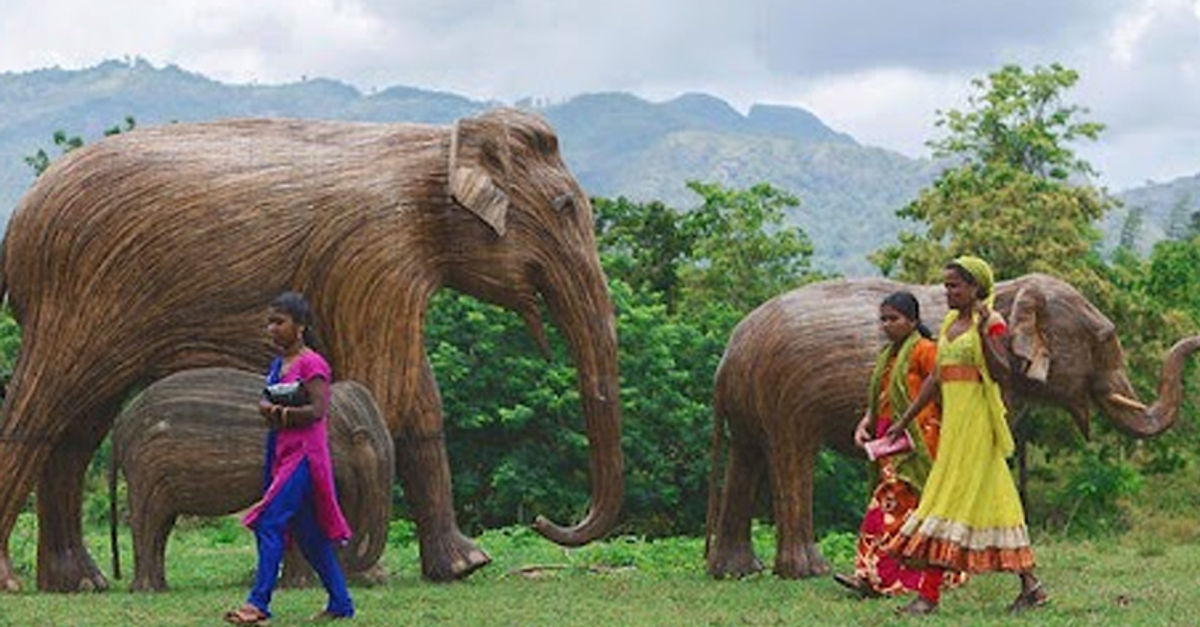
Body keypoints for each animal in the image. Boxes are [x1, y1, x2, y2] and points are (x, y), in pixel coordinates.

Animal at [111, 368, 394, 592]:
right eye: (362, 441)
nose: (346, 553)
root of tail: (120, 428)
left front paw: (294, 586)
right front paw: (300, 586)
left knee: (161, 526)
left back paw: (160, 587)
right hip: (145, 469)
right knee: (148, 521)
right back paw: (146, 590)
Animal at [705, 274, 1200, 580]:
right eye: (1106, 339)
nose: (1194, 338)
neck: (1007, 289)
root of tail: (729, 356)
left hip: (753, 403)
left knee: (745, 459)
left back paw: (735, 572)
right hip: (786, 398)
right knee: (791, 460)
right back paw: (810, 572)